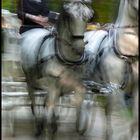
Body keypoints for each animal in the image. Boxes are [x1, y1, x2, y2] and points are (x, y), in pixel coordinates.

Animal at [19, 0, 93, 138]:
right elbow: (50, 111)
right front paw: (48, 130)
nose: (79, 48)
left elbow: (79, 103)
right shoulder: (52, 86)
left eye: (88, 17)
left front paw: (80, 125)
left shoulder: (76, 85)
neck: (68, 60)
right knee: (33, 101)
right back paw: (38, 126)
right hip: (30, 80)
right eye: (69, 17)